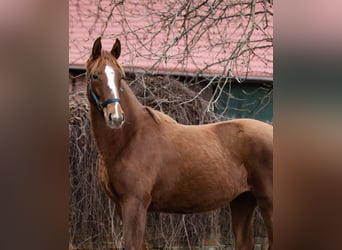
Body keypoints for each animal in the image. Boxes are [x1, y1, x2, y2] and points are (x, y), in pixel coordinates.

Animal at [87, 37, 274, 250]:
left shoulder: (135, 204)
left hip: (268, 202)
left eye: (122, 76)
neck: (129, 139)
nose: (116, 118)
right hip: (243, 201)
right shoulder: (123, 205)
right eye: (95, 76)